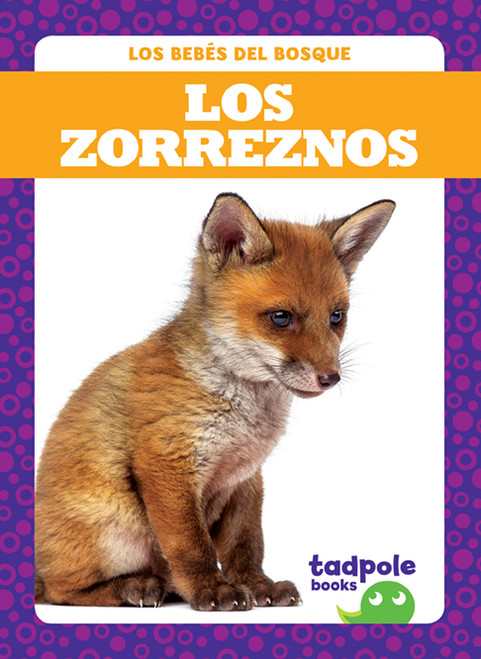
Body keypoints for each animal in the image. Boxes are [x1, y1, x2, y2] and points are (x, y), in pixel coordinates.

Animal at [35, 193, 395, 611]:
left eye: (337, 317)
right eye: (281, 318)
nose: (331, 377)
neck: (244, 413)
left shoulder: (245, 477)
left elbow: (246, 544)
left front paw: (256, 585)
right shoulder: (167, 463)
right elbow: (192, 545)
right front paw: (213, 588)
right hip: (118, 528)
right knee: (61, 591)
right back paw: (132, 587)